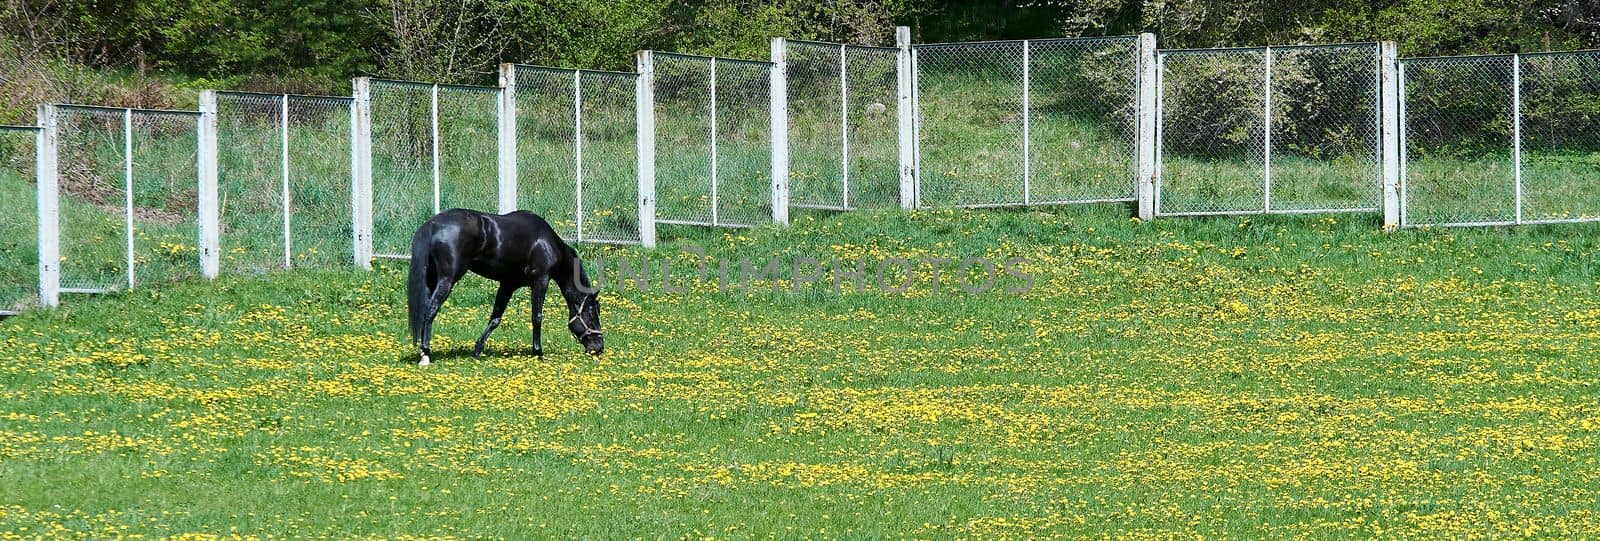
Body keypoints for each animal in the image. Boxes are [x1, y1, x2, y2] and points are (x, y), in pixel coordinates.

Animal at [403, 209, 601, 364]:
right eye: (591, 315)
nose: (599, 347)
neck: (546, 243)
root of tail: (433, 224)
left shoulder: (508, 285)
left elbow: (495, 318)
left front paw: (477, 351)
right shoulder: (541, 280)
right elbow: (537, 317)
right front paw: (538, 352)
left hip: (431, 279)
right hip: (447, 280)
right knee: (430, 310)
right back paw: (425, 354)